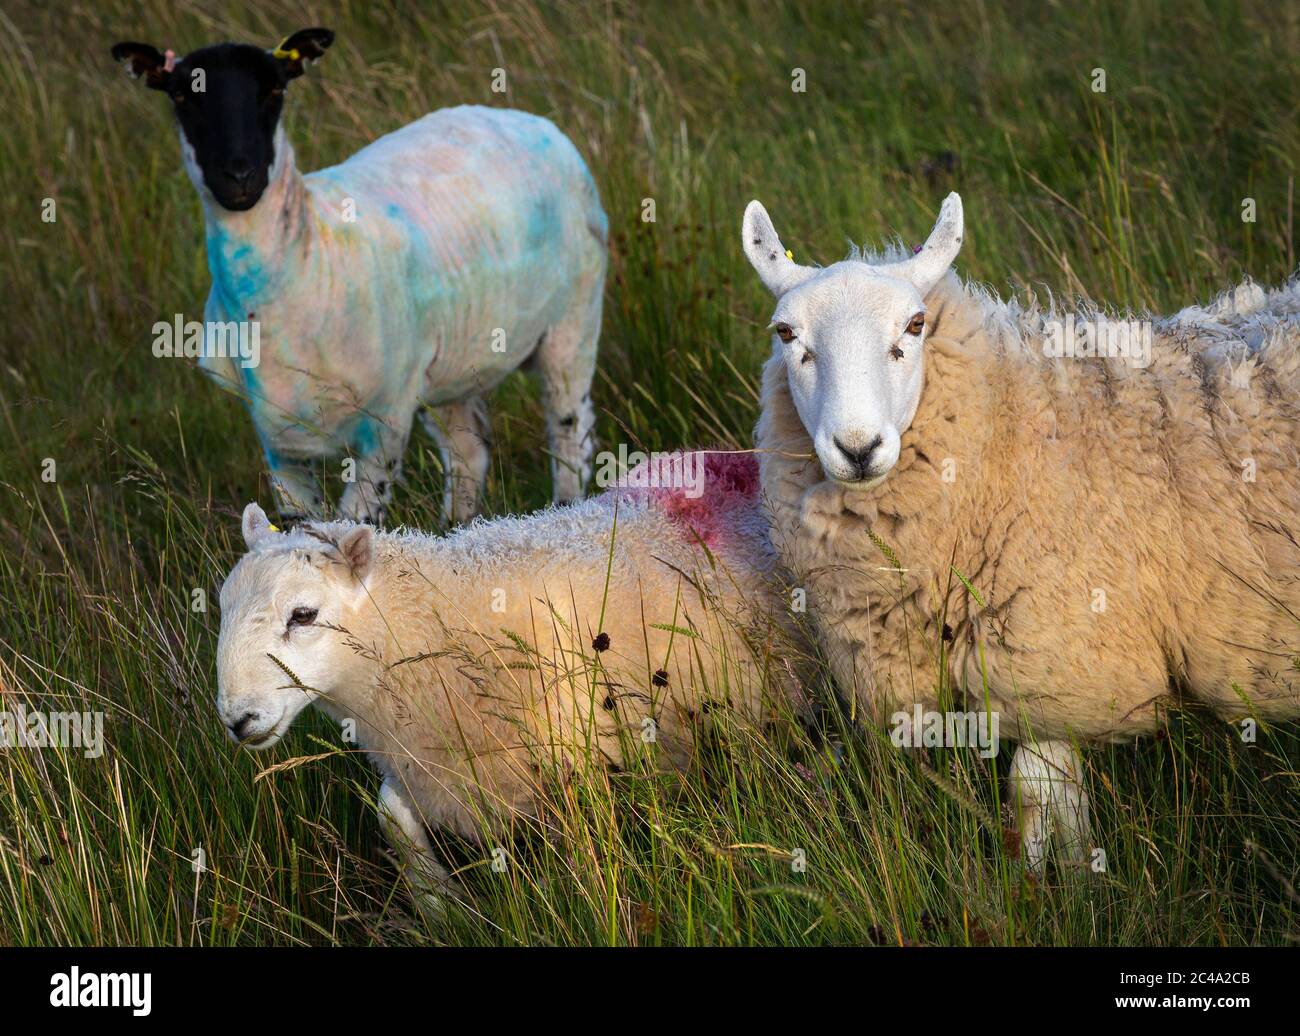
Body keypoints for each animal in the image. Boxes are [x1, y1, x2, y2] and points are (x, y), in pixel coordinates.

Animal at [111, 28, 607, 525]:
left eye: (275, 90)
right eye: (180, 95)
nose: (238, 176)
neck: (307, 264)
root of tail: (529, 120)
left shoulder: (386, 421)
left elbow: (357, 523)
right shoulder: (276, 437)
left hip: (573, 321)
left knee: (571, 435)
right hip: (450, 364)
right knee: (469, 451)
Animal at [214, 451, 801, 909]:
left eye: (304, 615)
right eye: (220, 606)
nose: (237, 720)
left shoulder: (581, 771)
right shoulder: (432, 769)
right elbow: (391, 820)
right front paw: (444, 908)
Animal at [742, 191, 1300, 870]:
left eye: (915, 325)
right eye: (786, 333)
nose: (857, 447)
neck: (1016, 424)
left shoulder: (1057, 664)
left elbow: (1037, 796)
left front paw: (1057, 884)